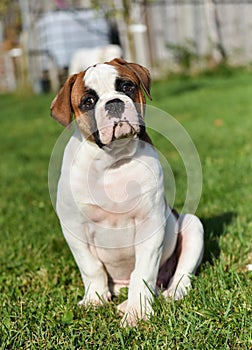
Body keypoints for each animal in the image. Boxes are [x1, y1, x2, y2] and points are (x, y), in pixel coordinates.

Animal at [50, 57, 204, 326]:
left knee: (180, 275)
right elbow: (91, 267)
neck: (113, 161)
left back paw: (168, 293)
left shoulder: (150, 224)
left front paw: (137, 312)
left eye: (127, 87)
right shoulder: (74, 227)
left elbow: (142, 272)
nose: (114, 103)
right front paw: (94, 299)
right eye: (88, 101)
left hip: (192, 224)